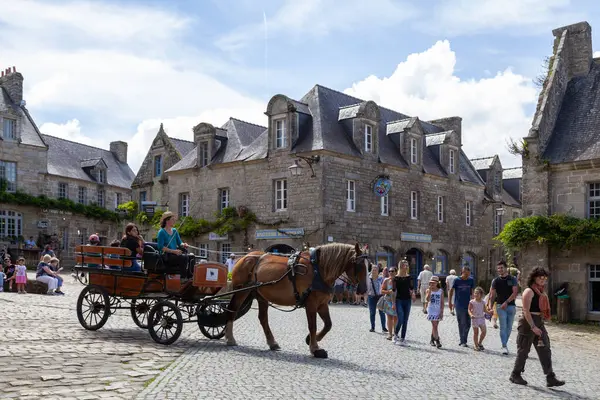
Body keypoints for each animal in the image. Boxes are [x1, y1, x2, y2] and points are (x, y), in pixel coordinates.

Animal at [224, 242, 366, 358]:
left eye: (368, 266)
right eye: (359, 265)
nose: (363, 290)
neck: (318, 270)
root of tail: (244, 257)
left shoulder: (322, 304)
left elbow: (328, 325)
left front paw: (311, 339)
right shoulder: (311, 304)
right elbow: (312, 326)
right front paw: (315, 349)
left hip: (261, 296)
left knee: (263, 318)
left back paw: (272, 342)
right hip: (241, 291)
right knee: (232, 311)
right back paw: (230, 338)